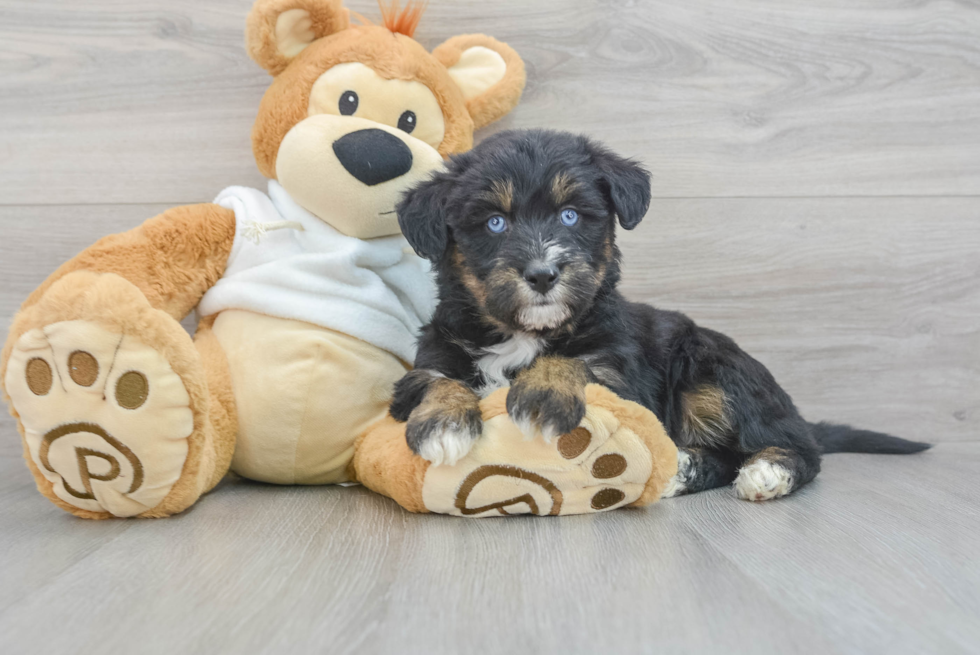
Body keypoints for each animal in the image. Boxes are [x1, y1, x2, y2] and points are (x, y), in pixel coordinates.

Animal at [388, 132, 928, 502]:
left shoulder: (622, 375)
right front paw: (443, 424)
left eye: (570, 215)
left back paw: (766, 472)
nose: (542, 274)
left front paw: (544, 394)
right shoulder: (428, 358)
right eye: (494, 223)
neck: (525, 333)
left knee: (798, 447)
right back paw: (679, 468)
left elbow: (576, 362)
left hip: (712, 370)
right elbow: (435, 380)